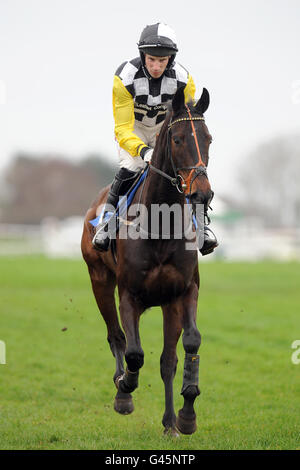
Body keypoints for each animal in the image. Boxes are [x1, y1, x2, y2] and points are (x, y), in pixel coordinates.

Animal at [81, 85, 214, 436]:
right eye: (178, 139)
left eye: (209, 138)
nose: (202, 193)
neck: (161, 227)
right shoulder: (129, 295)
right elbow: (134, 352)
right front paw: (125, 388)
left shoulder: (184, 292)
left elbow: (188, 346)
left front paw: (186, 414)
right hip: (100, 281)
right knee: (116, 336)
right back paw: (122, 390)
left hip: (166, 303)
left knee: (167, 360)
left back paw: (169, 422)